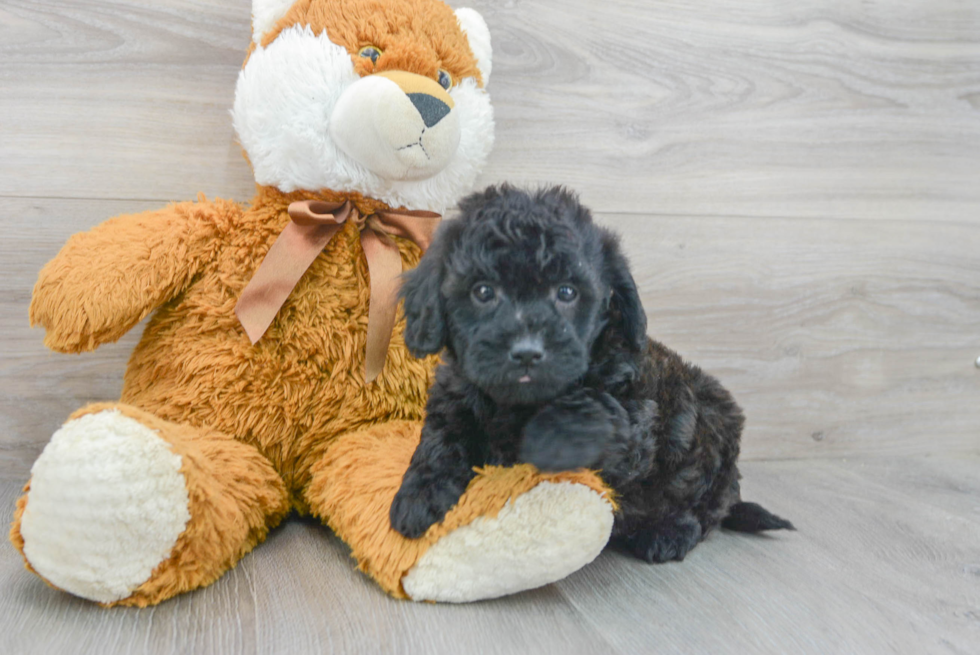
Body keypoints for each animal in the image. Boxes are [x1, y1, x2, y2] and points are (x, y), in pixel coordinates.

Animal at [386, 186, 792, 564]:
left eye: (567, 292)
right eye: (483, 291)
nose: (528, 352)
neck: (516, 402)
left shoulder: (635, 417)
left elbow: (587, 414)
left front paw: (537, 445)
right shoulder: (456, 395)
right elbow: (441, 440)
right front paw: (417, 498)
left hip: (715, 420)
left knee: (707, 511)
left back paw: (669, 532)